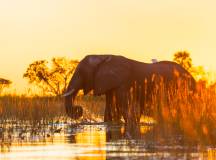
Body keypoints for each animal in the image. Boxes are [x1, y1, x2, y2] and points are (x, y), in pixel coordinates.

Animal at [62, 54, 196, 122]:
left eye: (81, 72)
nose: (79, 110)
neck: (103, 56)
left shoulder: (123, 83)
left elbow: (123, 106)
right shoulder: (110, 83)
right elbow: (110, 108)